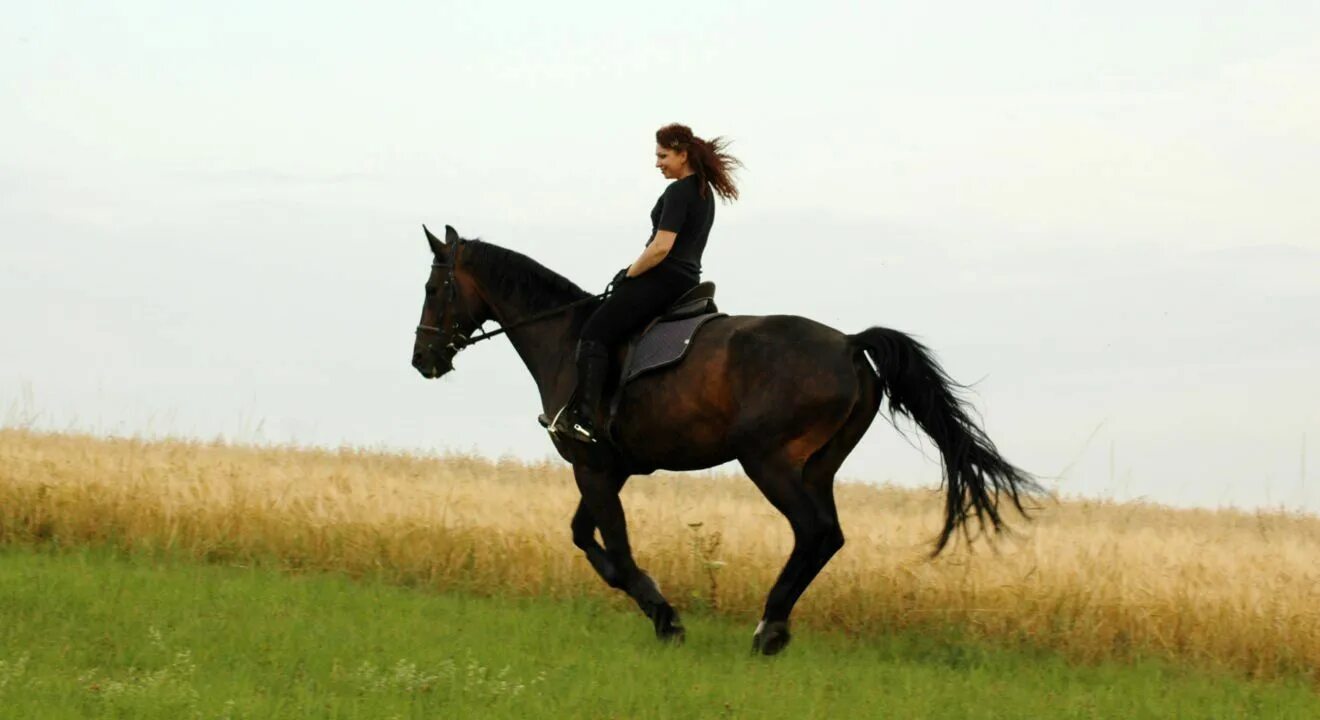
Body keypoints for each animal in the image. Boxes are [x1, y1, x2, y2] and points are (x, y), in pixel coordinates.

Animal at [406, 225, 1034, 657]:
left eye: (435, 287)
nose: (422, 360)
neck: (566, 336)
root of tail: (850, 344)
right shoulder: (609, 468)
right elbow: (587, 539)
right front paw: (656, 607)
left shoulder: (592, 466)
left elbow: (616, 551)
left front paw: (665, 617)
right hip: (817, 466)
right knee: (825, 537)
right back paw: (774, 628)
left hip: (769, 462)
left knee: (815, 532)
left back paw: (767, 628)